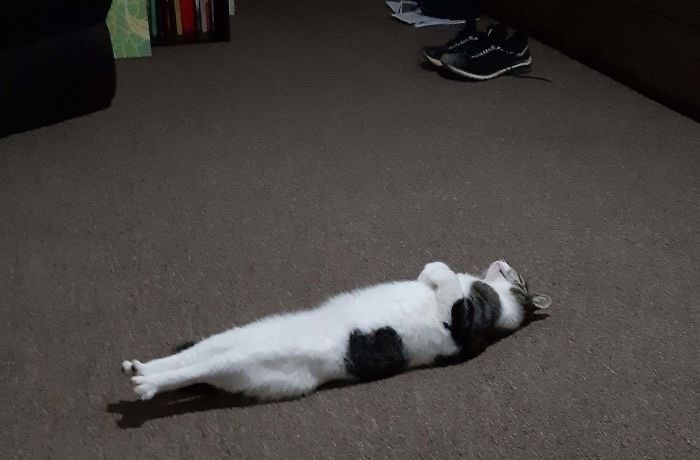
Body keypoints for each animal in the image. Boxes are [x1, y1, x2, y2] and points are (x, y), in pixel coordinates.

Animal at [124, 260, 552, 400]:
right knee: (191, 355)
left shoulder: (461, 323)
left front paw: (435, 272)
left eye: (517, 276)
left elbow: (447, 280)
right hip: (234, 338)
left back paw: (146, 383)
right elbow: (439, 273)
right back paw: (139, 367)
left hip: (250, 359)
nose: (502, 259)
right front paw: (428, 273)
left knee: (196, 369)